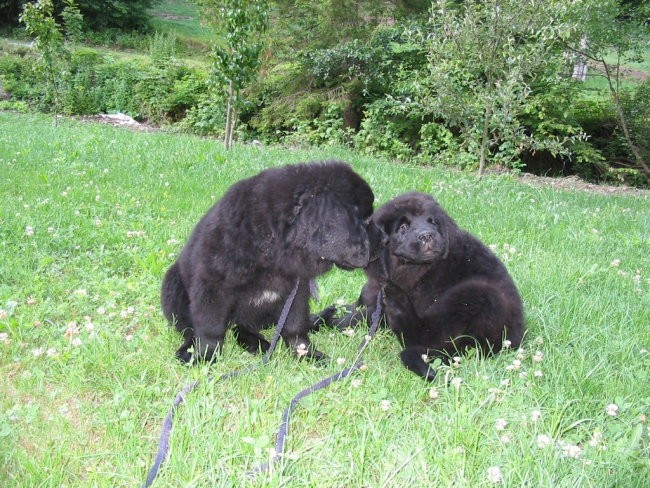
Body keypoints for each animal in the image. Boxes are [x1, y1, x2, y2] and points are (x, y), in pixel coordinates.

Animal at [161, 162, 374, 364]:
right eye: (363, 221)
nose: (371, 254)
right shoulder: (213, 285)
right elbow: (210, 330)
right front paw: (205, 356)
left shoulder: (297, 291)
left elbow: (296, 327)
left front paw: (307, 354)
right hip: (173, 285)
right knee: (194, 328)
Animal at [312, 192, 520, 382]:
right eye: (403, 227)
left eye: (433, 223)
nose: (427, 235)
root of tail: (514, 340)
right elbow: (353, 311)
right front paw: (324, 317)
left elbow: (359, 317)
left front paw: (332, 320)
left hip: (477, 293)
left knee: (424, 336)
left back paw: (397, 298)